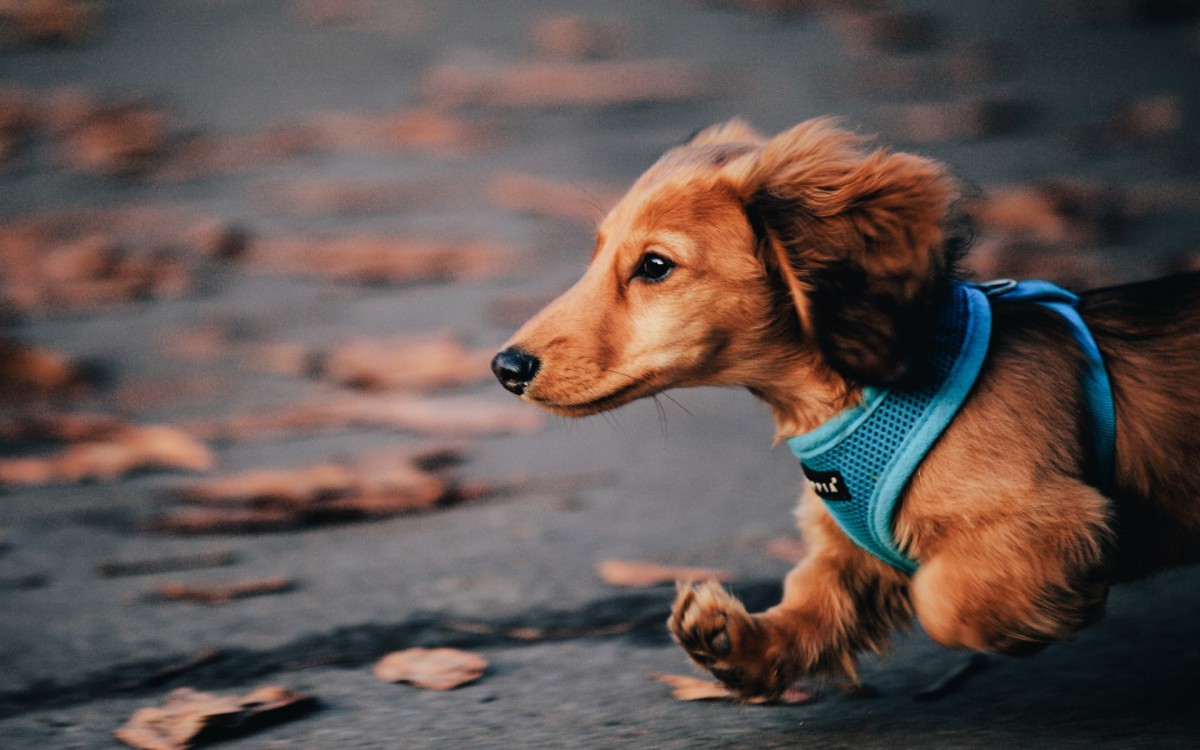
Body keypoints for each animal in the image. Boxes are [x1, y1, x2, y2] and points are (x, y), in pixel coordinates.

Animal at [487, 117, 1200, 696]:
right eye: (597, 254)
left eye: (655, 265)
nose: (505, 368)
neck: (862, 397)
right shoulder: (845, 554)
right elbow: (813, 605)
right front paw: (736, 644)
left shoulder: (1057, 514)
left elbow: (941, 596)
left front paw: (1044, 611)